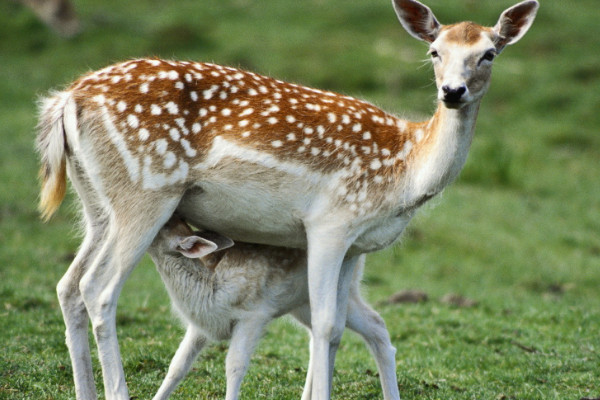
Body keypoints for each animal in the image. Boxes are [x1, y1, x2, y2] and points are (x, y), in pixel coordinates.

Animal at [145, 216, 398, 400]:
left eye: (165, 223)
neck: (211, 289)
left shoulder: (253, 315)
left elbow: (234, 366)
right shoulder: (201, 325)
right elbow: (177, 366)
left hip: (344, 290)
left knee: (376, 323)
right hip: (302, 304)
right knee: (320, 335)